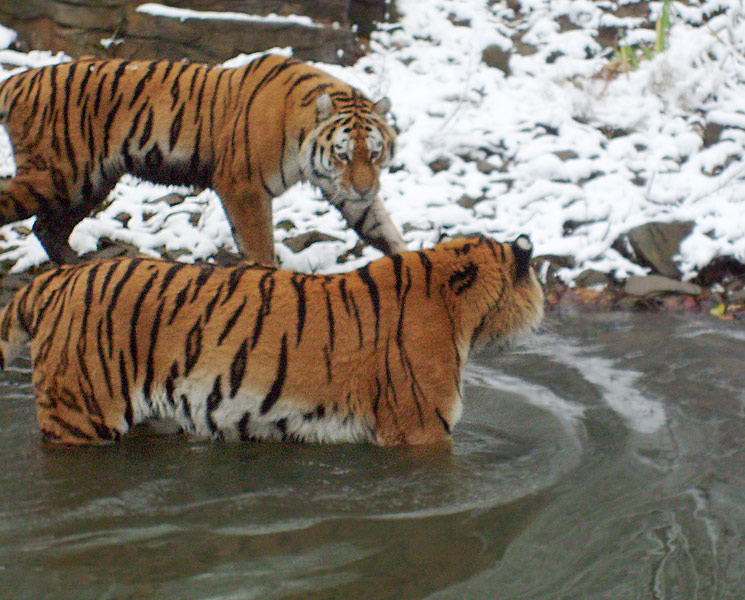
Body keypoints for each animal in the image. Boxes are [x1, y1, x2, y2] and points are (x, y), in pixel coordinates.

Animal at [0, 54, 406, 264]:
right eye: (341, 155)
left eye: (374, 154)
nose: (365, 189)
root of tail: (20, 79)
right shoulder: (243, 186)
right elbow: (259, 244)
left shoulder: (349, 193)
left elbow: (382, 227)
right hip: (57, 176)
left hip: (88, 184)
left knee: (46, 228)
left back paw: (77, 265)